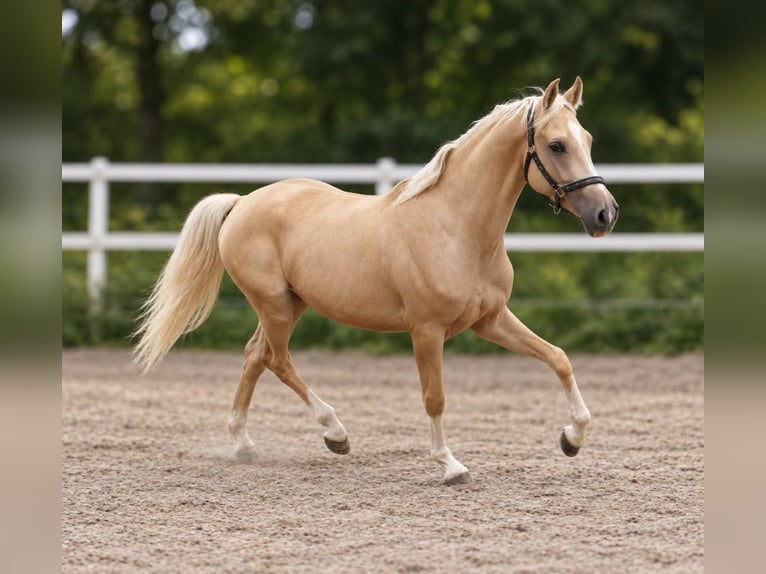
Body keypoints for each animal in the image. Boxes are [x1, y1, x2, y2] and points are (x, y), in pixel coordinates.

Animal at [134, 77, 618, 485]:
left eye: (588, 140)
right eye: (556, 145)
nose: (605, 214)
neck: (457, 228)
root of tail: (241, 202)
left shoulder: (491, 320)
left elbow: (558, 358)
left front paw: (571, 439)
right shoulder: (426, 331)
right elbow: (434, 397)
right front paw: (450, 466)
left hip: (290, 303)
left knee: (255, 356)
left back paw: (244, 444)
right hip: (274, 304)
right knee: (275, 359)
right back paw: (335, 433)